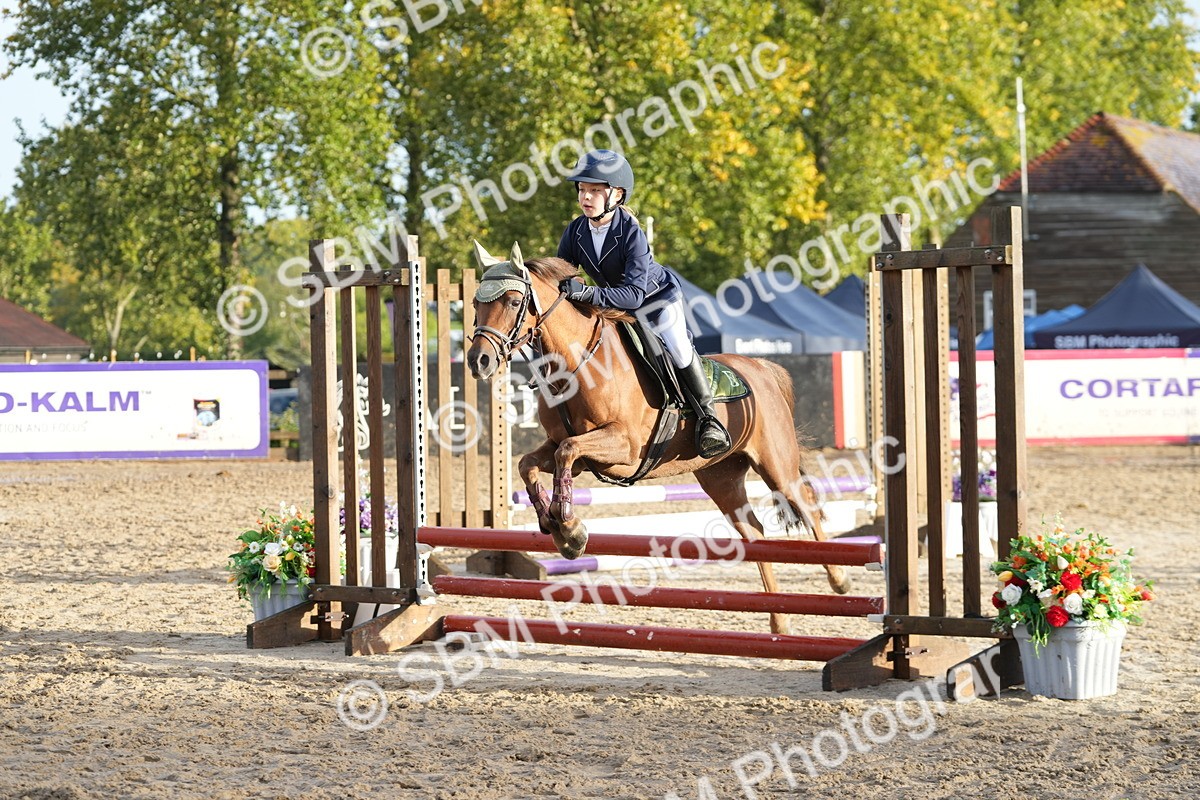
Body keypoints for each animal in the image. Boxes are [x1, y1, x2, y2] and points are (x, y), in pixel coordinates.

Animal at [465, 242, 850, 635]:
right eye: (476, 303)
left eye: (514, 301)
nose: (478, 361)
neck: (577, 364)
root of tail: (763, 368)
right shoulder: (567, 448)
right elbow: (530, 464)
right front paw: (557, 527)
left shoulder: (623, 446)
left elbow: (567, 455)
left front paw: (570, 529)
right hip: (722, 477)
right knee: (753, 532)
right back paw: (779, 620)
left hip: (776, 464)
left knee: (807, 505)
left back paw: (840, 581)